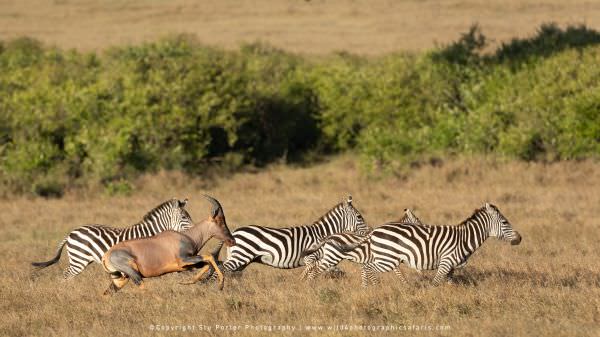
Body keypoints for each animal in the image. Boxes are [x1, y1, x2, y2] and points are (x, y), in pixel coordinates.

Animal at [102, 194, 236, 294]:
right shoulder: (183, 260)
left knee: (107, 293)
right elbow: (209, 256)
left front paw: (187, 282)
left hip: (120, 279)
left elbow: (207, 263)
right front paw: (221, 285)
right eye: (220, 221)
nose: (232, 241)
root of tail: (106, 256)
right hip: (133, 274)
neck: (186, 236)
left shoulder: (188, 265)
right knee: (143, 288)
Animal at [207, 194, 370, 278]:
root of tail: (234, 232)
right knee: (220, 269)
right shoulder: (310, 258)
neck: (322, 235)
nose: (369, 231)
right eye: (359, 217)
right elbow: (310, 275)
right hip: (240, 257)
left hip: (240, 259)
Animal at [338, 202, 520, 286]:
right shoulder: (446, 262)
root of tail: (374, 231)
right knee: (368, 268)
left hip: (384, 257)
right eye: (505, 222)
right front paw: (432, 299)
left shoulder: (451, 267)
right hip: (387, 259)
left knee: (366, 268)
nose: (520, 238)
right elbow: (435, 283)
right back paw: (374, 289)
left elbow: (450, 284)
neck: (464, 238)